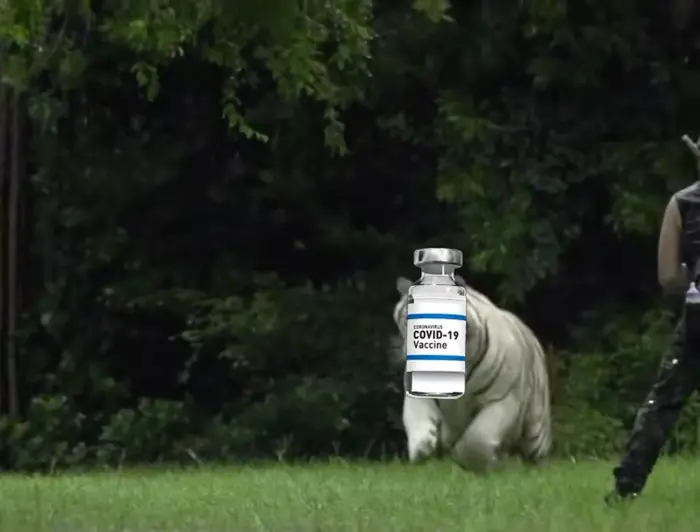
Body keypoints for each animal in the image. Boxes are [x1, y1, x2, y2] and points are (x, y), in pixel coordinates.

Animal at [391, 275, 552, 472]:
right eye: (409, 320)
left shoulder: (502, 399)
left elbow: (477, 439)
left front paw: (468, 459)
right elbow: (417, 420)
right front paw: (423, 449)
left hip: (536, 430)